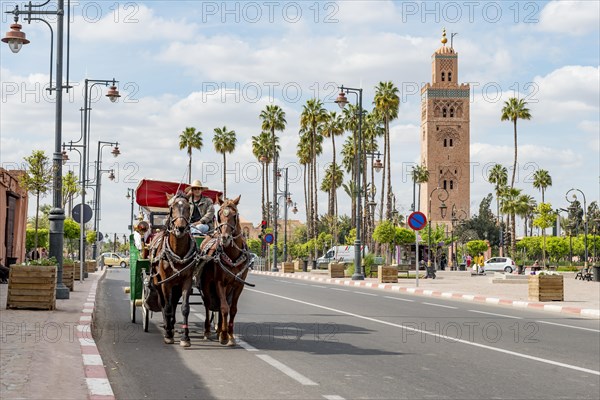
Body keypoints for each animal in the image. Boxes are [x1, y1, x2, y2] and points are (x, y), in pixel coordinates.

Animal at [148, 191, 200, 346]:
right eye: (172, 208)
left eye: (188, 208)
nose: (180, 228)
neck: (178, 252)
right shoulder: (166, 282)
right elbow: (167, 307)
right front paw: (168, 334)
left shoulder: (186, 281)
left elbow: (184, 308)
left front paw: (185, 337)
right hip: (157, 282)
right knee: (163, 303)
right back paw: (167, 326)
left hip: (176, 285)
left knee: (174, 302)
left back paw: (172, 324)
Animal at [198, 195, 252, 346]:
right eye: (219, 215)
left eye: (234, 215)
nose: (224, 238)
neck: (232, 256)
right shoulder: (219, 283)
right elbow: (223, 308)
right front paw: (224, 336)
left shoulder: (239, 284)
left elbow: (232, 309)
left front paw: (230, 335)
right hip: (206, 284)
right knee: (208, 304)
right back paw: (208, 331)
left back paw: (220, 330)